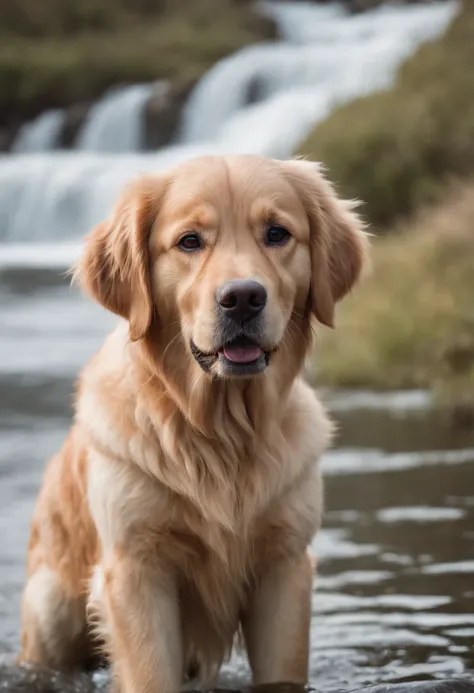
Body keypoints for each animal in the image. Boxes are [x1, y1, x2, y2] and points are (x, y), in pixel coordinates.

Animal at [17, 154, 366, 688]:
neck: (220, 433)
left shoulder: (284, 566)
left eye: (277, 233)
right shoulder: (137, 570)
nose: (242, 298)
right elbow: (149, 675)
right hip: (52, 606)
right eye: (189, 241)